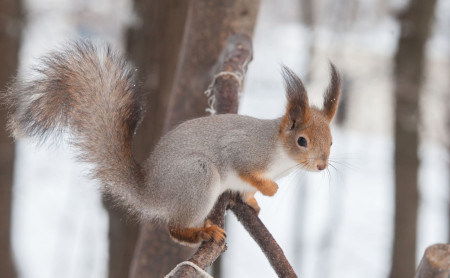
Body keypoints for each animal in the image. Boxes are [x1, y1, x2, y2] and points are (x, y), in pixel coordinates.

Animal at [4, 41, 342, 245]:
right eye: (302, 141)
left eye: (332, 142)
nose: (321, 165)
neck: (281, 158)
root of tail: (150, 191)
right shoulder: (244, 151)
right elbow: (245, 170)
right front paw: (270, 189)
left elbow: (247, 191)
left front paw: (254, 200)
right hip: (197, 177)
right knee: (174, 229)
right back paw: (203, 232)